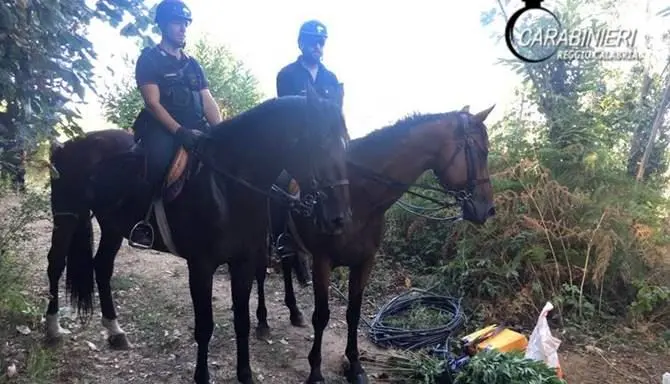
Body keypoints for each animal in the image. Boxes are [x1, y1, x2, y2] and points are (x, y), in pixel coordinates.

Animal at [44, 88, 354, 384]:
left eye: (346, 145)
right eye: (320, 144)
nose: (339, 218)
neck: (227, 186)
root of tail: (67, 145)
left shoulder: (242, 263)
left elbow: (241, 320)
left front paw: (246, 375)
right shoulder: (201, 266)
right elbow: (204, 327)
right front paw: (202, 376)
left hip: (111, 226)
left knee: (102, 266)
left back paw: (115, 331)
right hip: (67, 216)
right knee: (56, 264)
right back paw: (53, 328)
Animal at [249, 103, 496, 382]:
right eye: (482, 151)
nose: (488, 209)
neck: (358, 197)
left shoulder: (364, 262)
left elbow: (353, 314)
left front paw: (355, 366)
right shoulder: (322, 262)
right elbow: (321, 316)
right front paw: (315, 371)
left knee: (287, 266)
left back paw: (294, 312)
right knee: (260, 273)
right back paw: (262, 323)